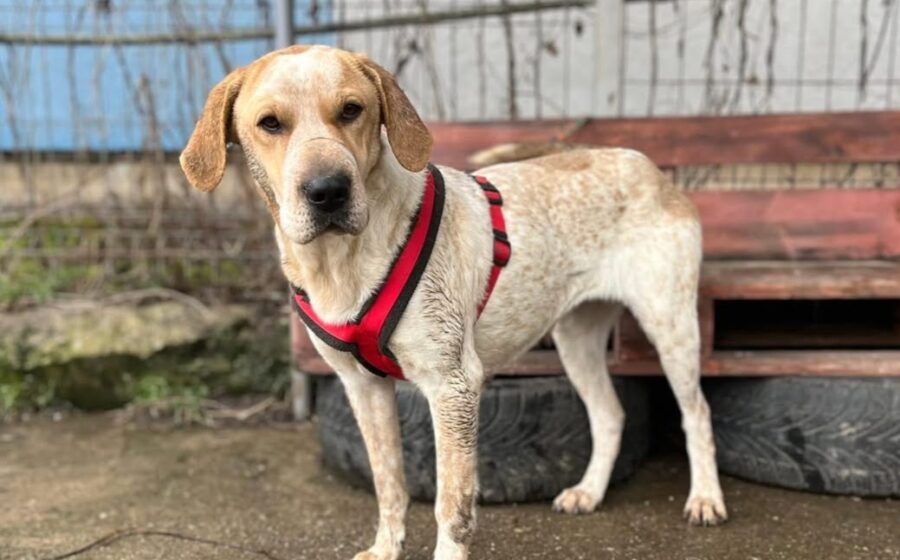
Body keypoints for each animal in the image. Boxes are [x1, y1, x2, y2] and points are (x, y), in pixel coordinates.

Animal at [180, 44, 727, 560]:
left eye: (352, 110)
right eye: (269, 123)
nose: (328, 192)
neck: (341, 263)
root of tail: (643, 163)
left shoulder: (454, 385)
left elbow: (453, 503)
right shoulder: (363, 387)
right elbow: (388, 482)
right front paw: (386, 548)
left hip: (671, 326)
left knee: (696, 412)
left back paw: (705, 498)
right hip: (577, 336)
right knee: (611, 414)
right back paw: (589, 492)